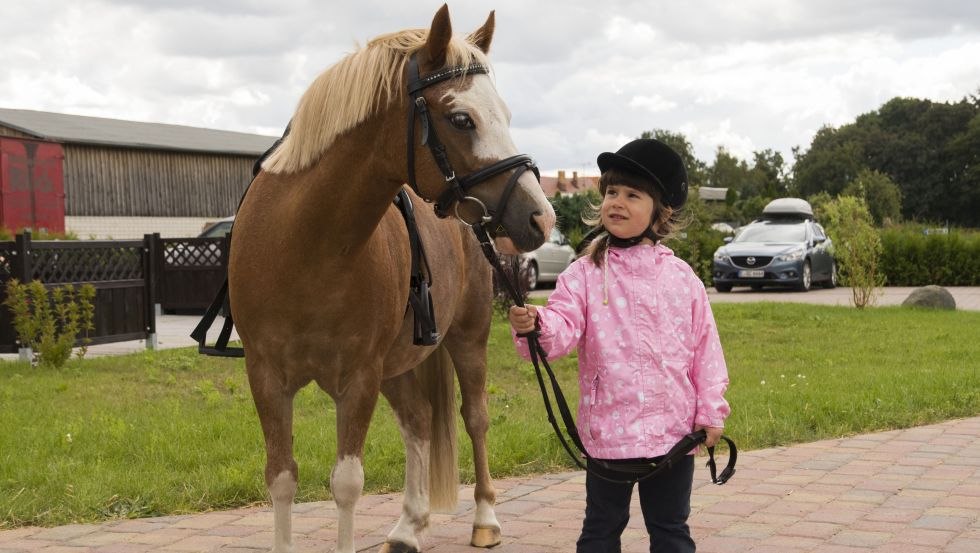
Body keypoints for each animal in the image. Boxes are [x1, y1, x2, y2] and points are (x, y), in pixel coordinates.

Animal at [225, 5, 556, 552]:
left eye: (506, 115)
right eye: (461, 118)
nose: (540, 217)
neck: (307, 246)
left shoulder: (358, 376)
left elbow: (346, 483)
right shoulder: (266, 376)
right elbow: (281, 476)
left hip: (467, 338)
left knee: (475, 418)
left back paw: (485, 518)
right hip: (397, 365)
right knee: (418, 421)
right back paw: (408, 526)